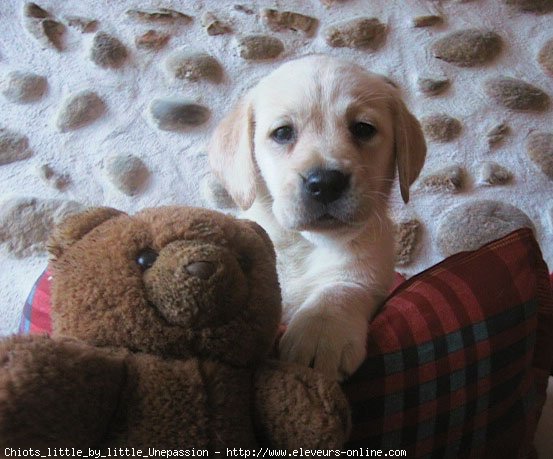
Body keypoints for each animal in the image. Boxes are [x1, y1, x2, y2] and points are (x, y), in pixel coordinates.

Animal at [205, 54, 424, 380]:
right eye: (283, 133)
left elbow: (341, 288)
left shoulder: (371, 274)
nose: (325, 183)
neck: (305, 244)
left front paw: (320, 330)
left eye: (363, 129)